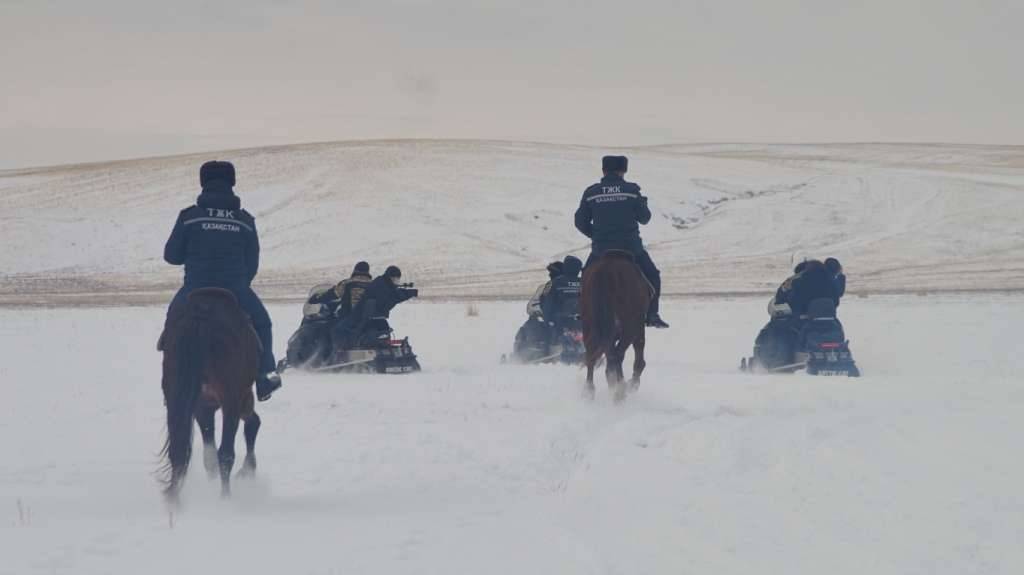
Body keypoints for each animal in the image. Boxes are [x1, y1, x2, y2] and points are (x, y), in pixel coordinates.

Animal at [158, 288, 262, 499]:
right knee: (226, 453)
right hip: (232, 399)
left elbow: (209, 457)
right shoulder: (238, 398)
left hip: (177, 397)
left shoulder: (202, 408)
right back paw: (225, 497)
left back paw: (174, 498)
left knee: (178, 450)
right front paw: (248, 469)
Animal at [581, 250, 651, 403]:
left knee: (591, 353)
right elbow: (638, 357)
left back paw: (590, 390)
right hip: (630, 326)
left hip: (591, 326)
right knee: (618, 354)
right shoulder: (638, 327)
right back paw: (620, 390)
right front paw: (632, 384)